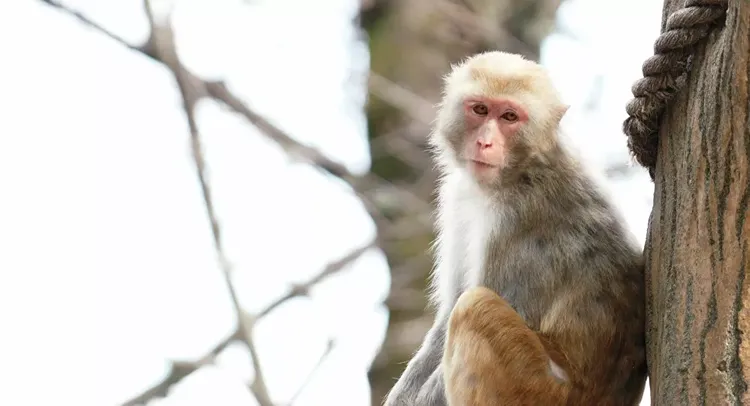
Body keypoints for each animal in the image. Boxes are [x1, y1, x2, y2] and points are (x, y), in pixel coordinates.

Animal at [383, 51, 647, 406]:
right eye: (480, 109)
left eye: (509, 116)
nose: (485, 142)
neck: (521, 171)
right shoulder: (458, 197)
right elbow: (444, 323)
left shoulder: (517, 218)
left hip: (535, 389)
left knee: (475, 307)